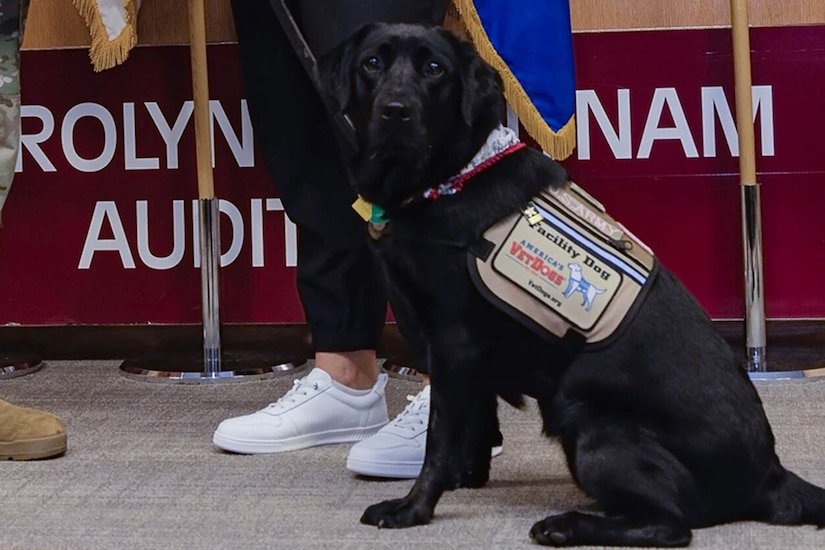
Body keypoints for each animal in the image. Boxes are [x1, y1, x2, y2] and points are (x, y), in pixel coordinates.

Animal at [318, 22, 824, 548]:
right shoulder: (469, 353)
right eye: (371, 64)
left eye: (434, 68)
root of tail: (770, 476)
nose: (396, 110)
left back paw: (566, 525)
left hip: (592, 425)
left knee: (671, 525)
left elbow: (440, 439)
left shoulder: (454, 342)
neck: (451, 176)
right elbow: (473, 427)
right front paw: (465, 479)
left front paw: (412, 508)